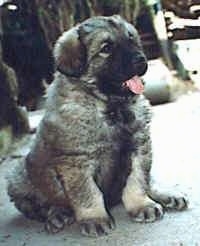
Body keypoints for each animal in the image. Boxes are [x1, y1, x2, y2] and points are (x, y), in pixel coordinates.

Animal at [7, 14, 188, 236]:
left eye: (131, 39)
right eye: (106, 48)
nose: (141, 60)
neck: (111, 105)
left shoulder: (139, 146)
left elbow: (138, 179)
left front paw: (142, 205)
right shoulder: (76, 161)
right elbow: (87, 193)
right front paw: (95, 218)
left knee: (149, 180)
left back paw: (168, 195)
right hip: (18, 175)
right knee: (41, 205)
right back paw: (57, 214)